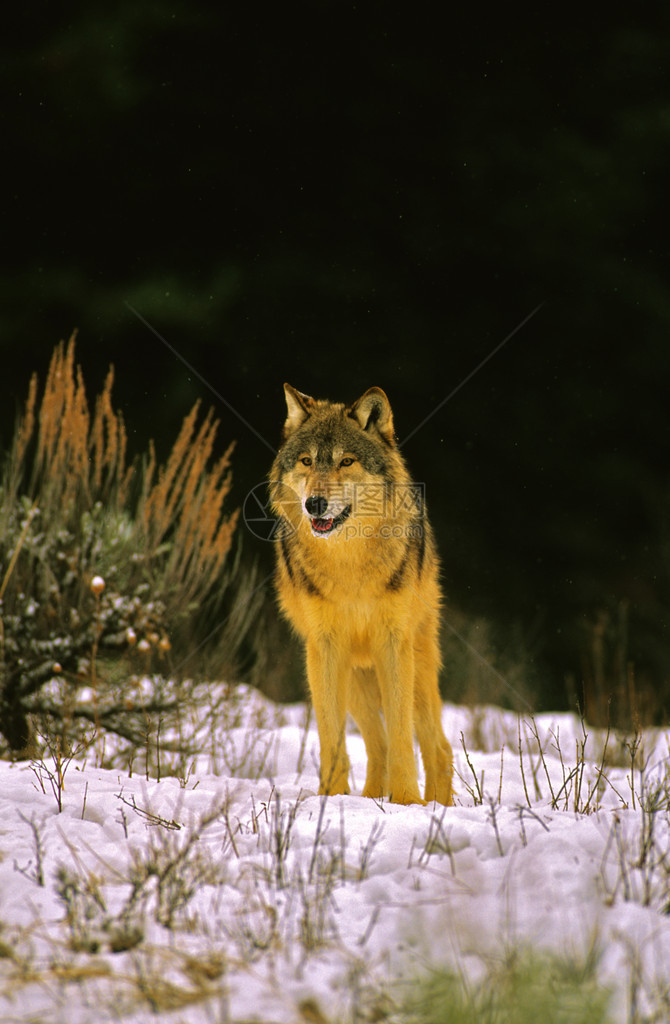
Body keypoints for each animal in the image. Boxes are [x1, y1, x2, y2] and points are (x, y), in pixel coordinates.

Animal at [270, 385, 454, 806]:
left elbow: (403, 737)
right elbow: (331, 738)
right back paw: (370, 799)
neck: (349, 566)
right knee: (377, 743)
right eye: (307, 461)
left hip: (416, 665)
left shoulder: (393, 644)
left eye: (346, 461)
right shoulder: (324, 649)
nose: (314, 503)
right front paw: (330, 798)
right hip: (354, 677)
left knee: (437, 747)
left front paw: (407, 802)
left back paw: (438, 806)